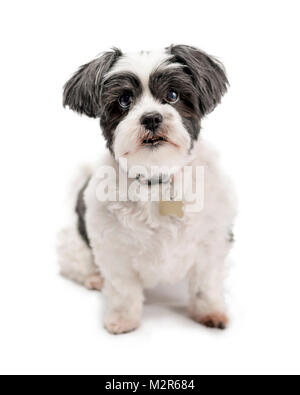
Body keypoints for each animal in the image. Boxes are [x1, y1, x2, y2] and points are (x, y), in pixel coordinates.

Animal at [58, 47, 237, 338]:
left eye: (173, 95)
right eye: (124, 100)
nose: (152, 117)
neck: (157, 178)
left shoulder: (212, 241)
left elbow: (205, 285)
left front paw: (210, 312)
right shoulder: (114, 249)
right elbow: (124, 290)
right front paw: (123, 318)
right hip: (74, 243)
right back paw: (94, 278)